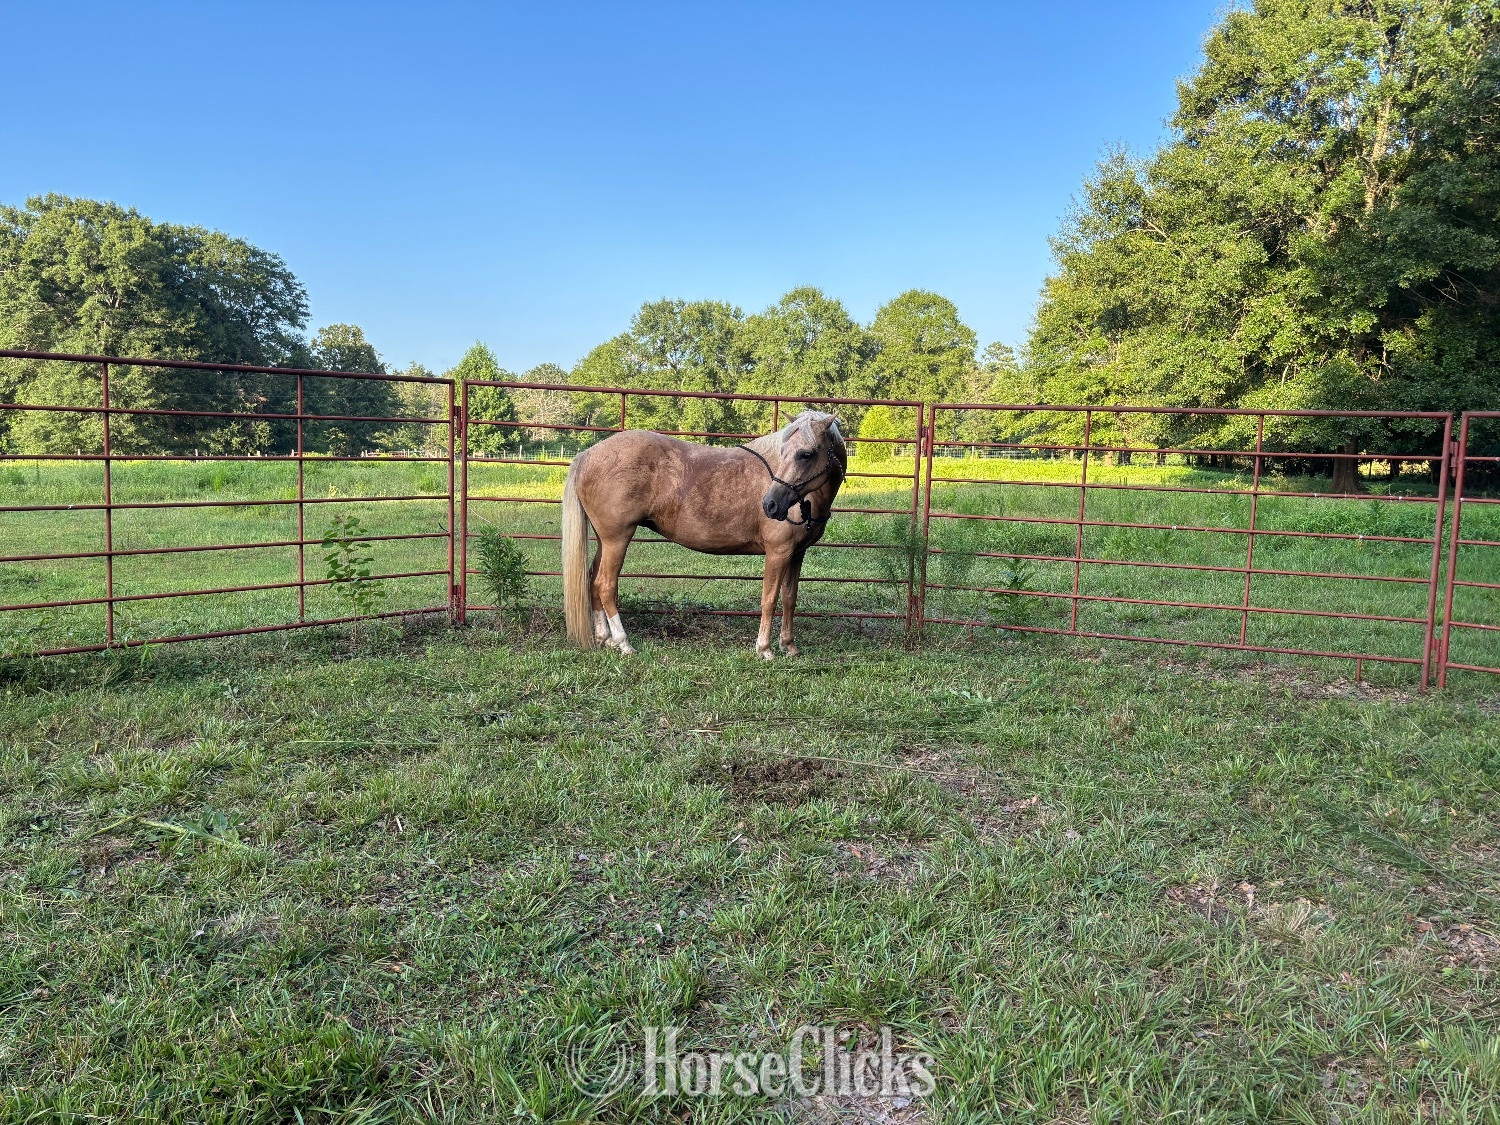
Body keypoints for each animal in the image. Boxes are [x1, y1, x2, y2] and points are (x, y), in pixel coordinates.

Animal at [560, 410, 847, 657]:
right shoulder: (778, 553)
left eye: (806, 454)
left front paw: (789, 646)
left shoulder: (796, 554)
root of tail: (587, 455)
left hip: (604, 540)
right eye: (785, 451)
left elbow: (789, 599)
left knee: (592, 580)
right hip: (617, 539)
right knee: (605, 585)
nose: (771, 505)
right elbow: (769, 599)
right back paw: (623, 643)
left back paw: (604, 638)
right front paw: (764, 649)